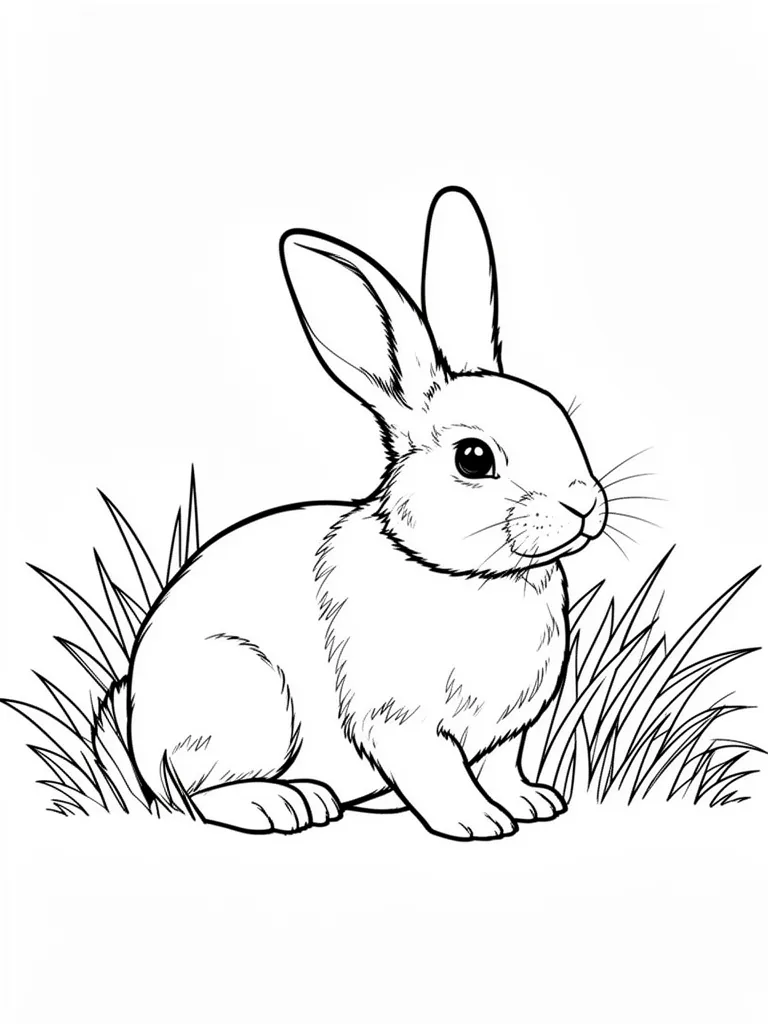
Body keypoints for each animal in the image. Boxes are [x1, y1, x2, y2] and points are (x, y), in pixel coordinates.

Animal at [127, 186, 608, 841]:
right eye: (474, 457)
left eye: (562, 419)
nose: (583, 504)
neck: (467, 577)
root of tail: (138, 737)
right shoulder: (400, 719)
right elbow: (438, 771)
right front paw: (479, 821)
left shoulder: (509, 732)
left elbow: (502, 766)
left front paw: (532, 803)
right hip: (248, 696)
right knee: (196, 791)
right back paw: (286, 803)